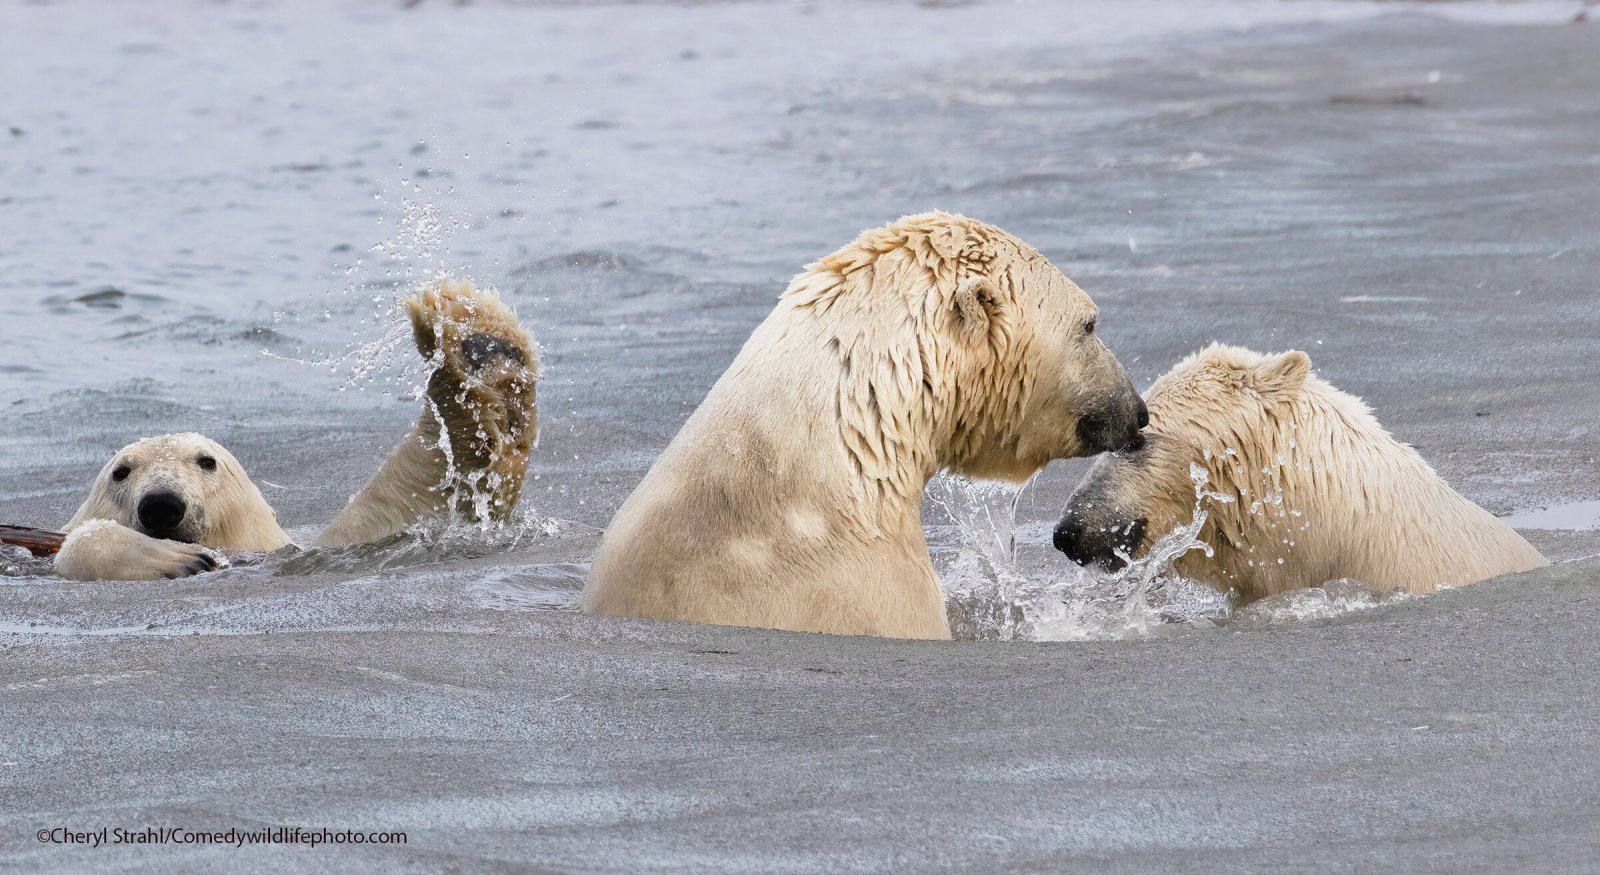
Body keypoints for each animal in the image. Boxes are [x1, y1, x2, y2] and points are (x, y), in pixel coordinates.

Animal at [53, 281, 540, 582]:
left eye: (206, 461)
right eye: (121, 471)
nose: (161, 505)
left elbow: (412, 505)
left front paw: (477, 343)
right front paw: (175, 559)